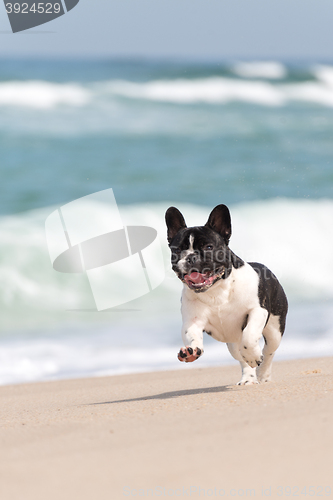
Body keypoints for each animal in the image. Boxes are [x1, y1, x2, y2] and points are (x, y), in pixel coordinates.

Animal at [165, 205, 286, 384]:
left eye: (208, 247)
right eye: (178, 250)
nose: (191, 257)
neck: (216, 290)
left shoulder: (257, 311)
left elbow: (250, 335)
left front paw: (254, 355)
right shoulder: (192, 322)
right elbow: (192, 335)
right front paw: (191, 351)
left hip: (275, 330)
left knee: (268, 352)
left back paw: (263, 375)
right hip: (232, 343)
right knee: (242, 358)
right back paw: (249, 378)